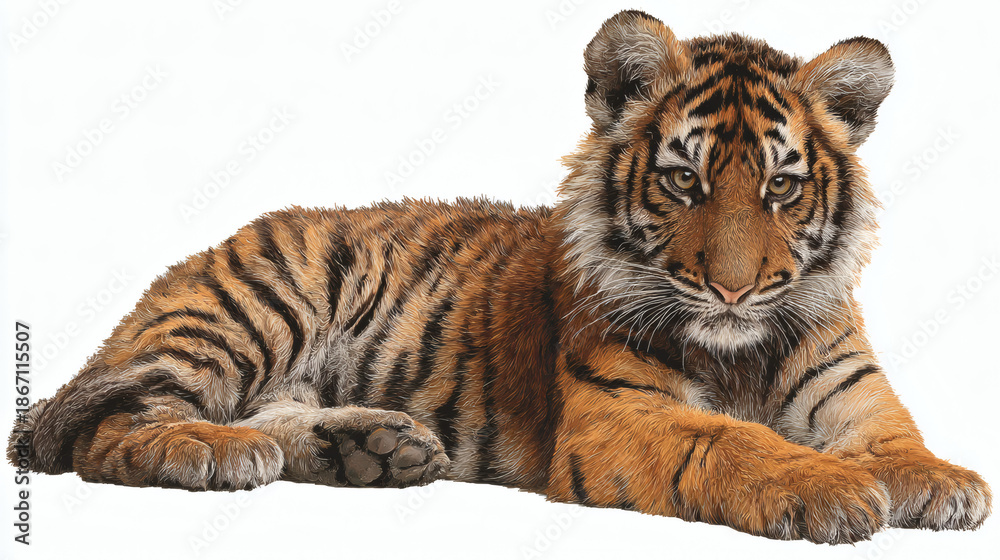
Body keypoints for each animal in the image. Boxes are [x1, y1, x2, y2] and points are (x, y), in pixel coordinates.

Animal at [8, 10, 991, 544]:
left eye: (781, 188)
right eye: (686, 181)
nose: (734, 291)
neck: (740, 348)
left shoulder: (854, 395)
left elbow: (899, 440)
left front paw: (945, 482)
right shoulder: (616, 415)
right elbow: (731, 441)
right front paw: (830, 489)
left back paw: (375, 447)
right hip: (253, 308)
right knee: (112, 426)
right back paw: (212, 450)